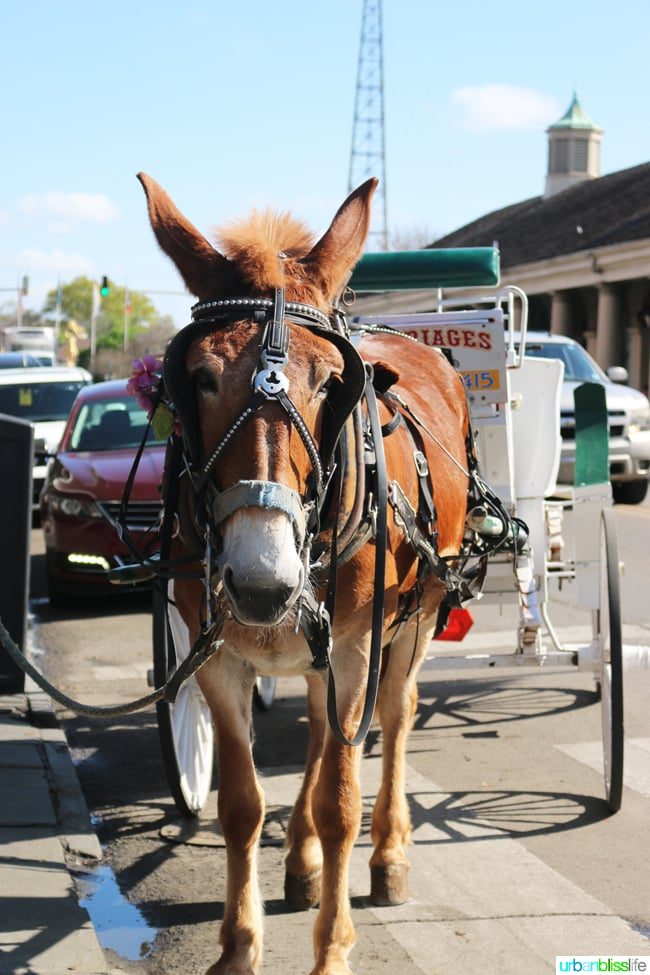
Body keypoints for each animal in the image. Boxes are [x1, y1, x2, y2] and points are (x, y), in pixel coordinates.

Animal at [138, 172, 471, 975]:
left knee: (396, 716)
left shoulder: (355, 646)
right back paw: (302, 862)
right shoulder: (216, 657)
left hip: (414, 617)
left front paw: (331, 950)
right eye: (200, 376)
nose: (263, 582)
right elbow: (242, 805)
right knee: (321, 730)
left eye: (329, 383)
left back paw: (388, 855)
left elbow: (341, 801)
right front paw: (239, 946)